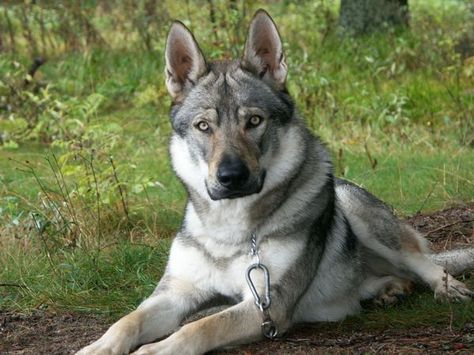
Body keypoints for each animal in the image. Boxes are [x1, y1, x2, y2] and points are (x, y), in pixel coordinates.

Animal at [78, 9, 474, 354]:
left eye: (254, 121)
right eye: (203, 126)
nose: (231, 177)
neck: (229, 231)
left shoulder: (267, 304)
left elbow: (201, 327)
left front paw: (155, 349)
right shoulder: (176, 293)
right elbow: (127, 321)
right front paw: (97, 347)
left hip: (360, 214)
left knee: (423, 263)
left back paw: (447, 288)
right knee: (393, 276)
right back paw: (388, 290)